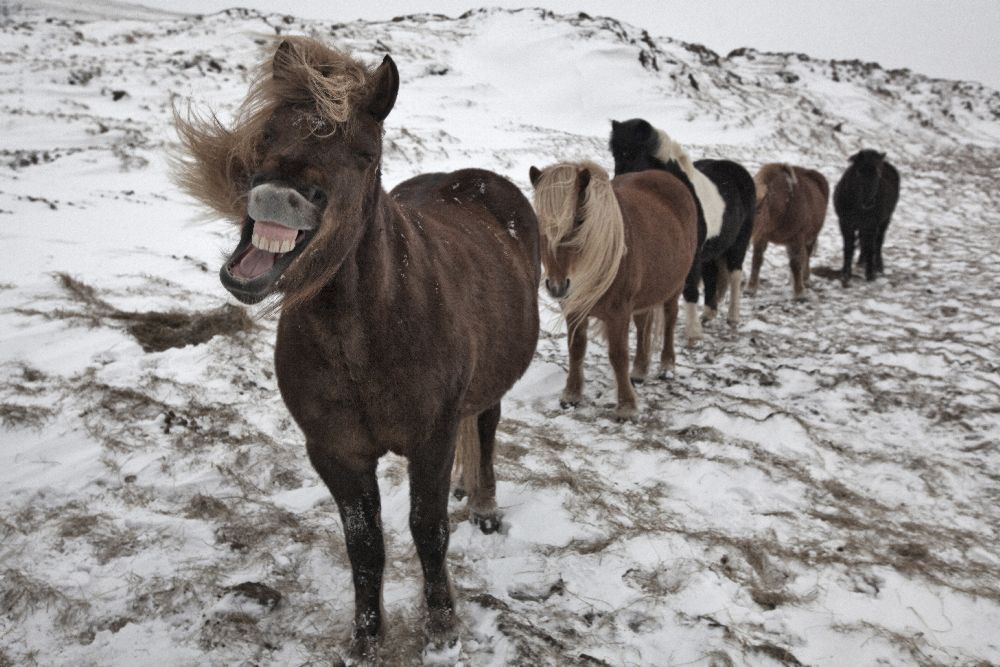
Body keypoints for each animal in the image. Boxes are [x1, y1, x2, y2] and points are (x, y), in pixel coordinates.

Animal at [176, 39, 544, 664]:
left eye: (364, 153)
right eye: (268, 131)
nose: (279, 196)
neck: (366, 338)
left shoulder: (430, 440)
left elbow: (429, 530)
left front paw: (442, 627)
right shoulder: (336, 452)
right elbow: (364, 545)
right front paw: (366, 639)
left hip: (490, 385)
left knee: (486, 426)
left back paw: (484, 504)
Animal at [528, 161, 700, 420]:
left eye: (579, 221)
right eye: (540, 222)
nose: (557, 286)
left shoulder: (618, 313)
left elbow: (618, 356)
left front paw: (627, 406)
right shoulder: (575, 309)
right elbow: (576, 349)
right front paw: (571, 395)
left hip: (674, 286)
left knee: (669, 321)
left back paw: (667, 366)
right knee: (643, 325)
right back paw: (639, 370)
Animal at [604, 118, 752, 344]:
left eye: (634, 153)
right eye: (615, 154)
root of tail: (737, 169)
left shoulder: (691, 254)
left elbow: (690, 288)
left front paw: (693, 333)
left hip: (738, 244)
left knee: (735, 276)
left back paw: (732, 317)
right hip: (711, 251)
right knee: (712, 277)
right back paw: (708, 314)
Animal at [752, 163, 828, 298]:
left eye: (759, 210)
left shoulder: (796, 238)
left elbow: (796, 263)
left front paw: (799, 293)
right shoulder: (761, 237)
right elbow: (757, 259)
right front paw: (750, 289)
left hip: (810, 237)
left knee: (806, 256)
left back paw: (805, 280)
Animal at [832, 149, 904, 284]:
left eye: (878, 175)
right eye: (859, 172)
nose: (869, 203)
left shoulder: (872, 225)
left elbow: (871, 247)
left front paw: (870, 275)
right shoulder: (845, 223)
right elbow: (848, 247)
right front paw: (845, 274)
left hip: (884, 221)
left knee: (878, 242)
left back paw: (878, 266)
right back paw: (861, 261)